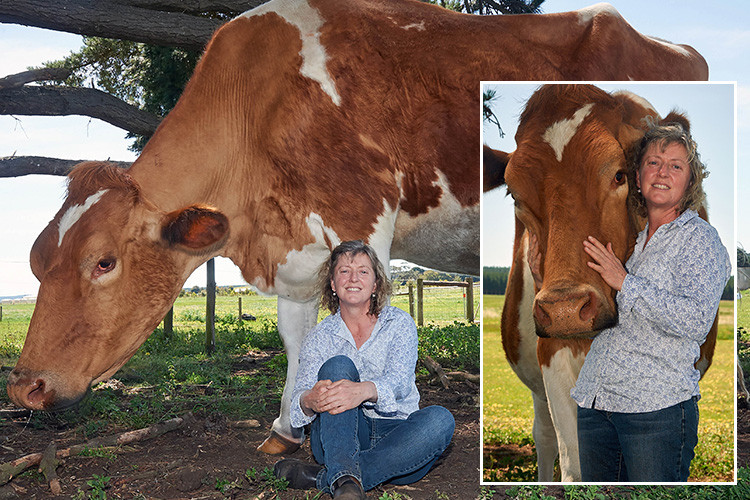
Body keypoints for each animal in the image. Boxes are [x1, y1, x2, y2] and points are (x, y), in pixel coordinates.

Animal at [7, 0, 708, 457]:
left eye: (103, 261)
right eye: (39, 260)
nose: (25, 386)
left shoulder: (364, 222)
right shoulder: (291, 250)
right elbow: (297, 341)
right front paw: (287, 430)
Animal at [483, 84, 718, 481]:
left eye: (620, 175)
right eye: (514, 194)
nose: (565, 309)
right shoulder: (555, 355)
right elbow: (576, 466)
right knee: (544, 435)